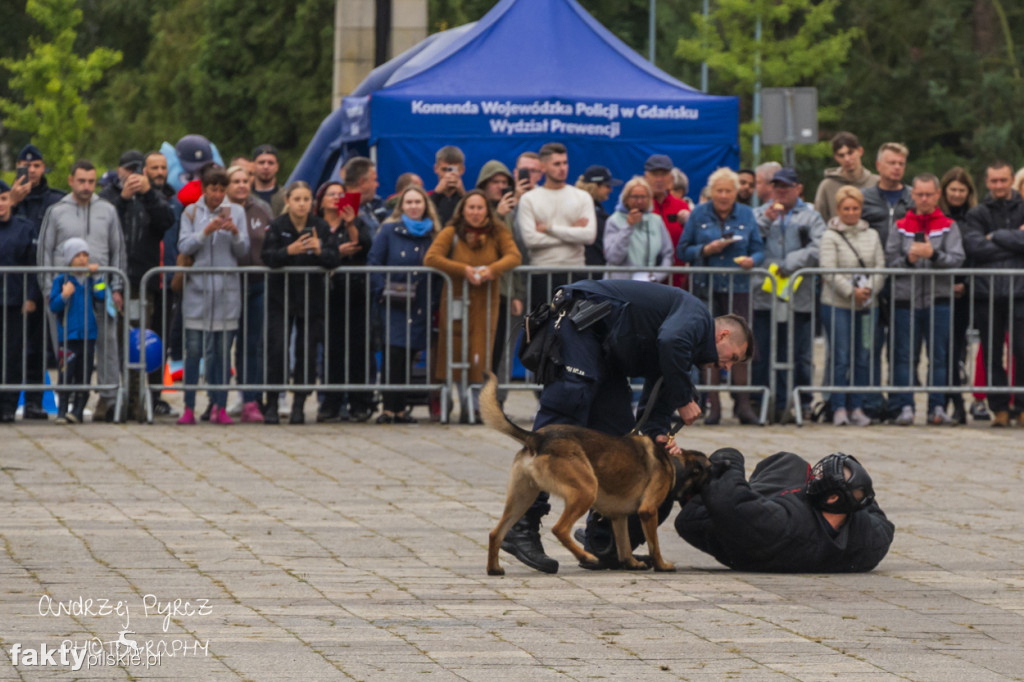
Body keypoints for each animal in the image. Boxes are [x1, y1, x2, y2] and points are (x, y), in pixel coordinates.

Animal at [481, 372, 712, 573]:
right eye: (711, 474)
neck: (673, 463)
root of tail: (537, 437)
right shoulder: (648, 511)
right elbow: (654, 545)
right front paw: (661, 566)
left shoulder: (619, 517)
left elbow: (624, 544)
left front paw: (631, 563)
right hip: (586, 491)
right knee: (559, 529)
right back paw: (586, 557)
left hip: (522, 498)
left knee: (495, 533)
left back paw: (494, 569)